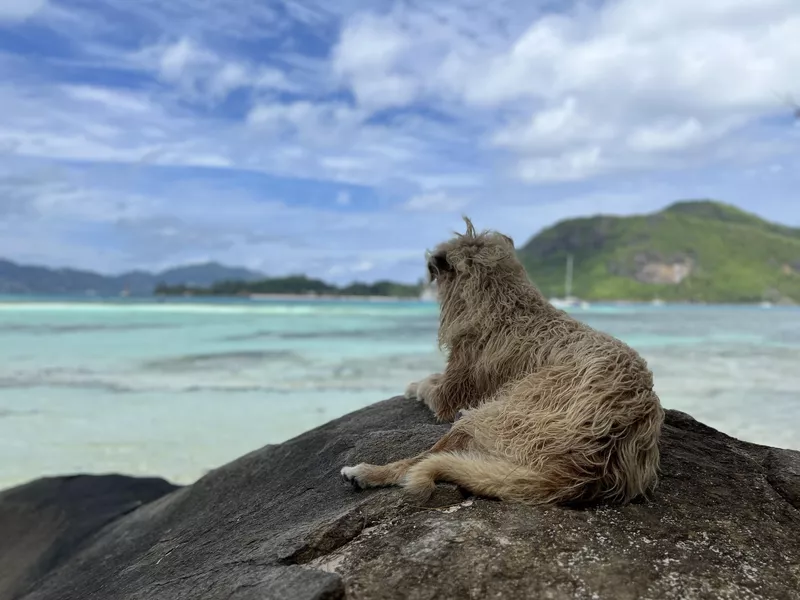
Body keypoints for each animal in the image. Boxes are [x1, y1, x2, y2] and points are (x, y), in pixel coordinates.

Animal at [340, 218, 664, 504]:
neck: (504, 304)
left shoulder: (452, 392)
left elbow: (431, 388)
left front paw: (414, 385)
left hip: (496, 412)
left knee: (420, 460)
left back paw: (368, 472)